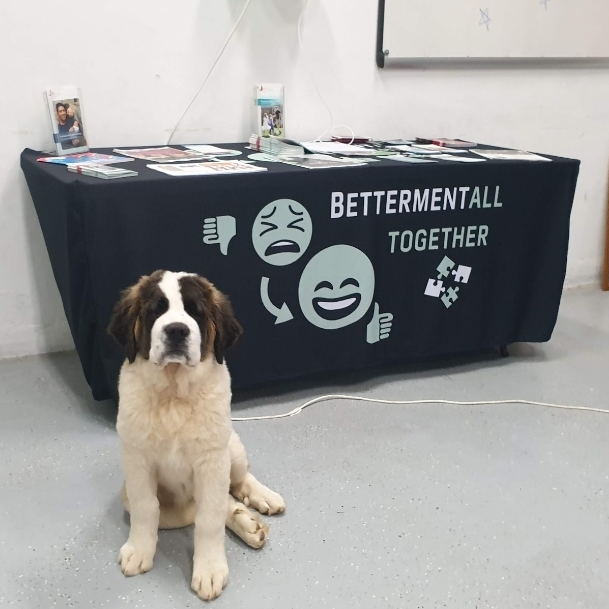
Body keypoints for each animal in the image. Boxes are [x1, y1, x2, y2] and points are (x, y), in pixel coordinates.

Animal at [107, 270, 284, 600]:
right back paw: (246, 522)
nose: (177, 331)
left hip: (231, 448)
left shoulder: (212, 461)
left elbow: (209, 519)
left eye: (195, 312)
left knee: (239, 480)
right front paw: (139, 550)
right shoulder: (137, 460)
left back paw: (263, 497)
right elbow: (147, 508)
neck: (174, 394)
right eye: (156, 310)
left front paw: (210, 569)